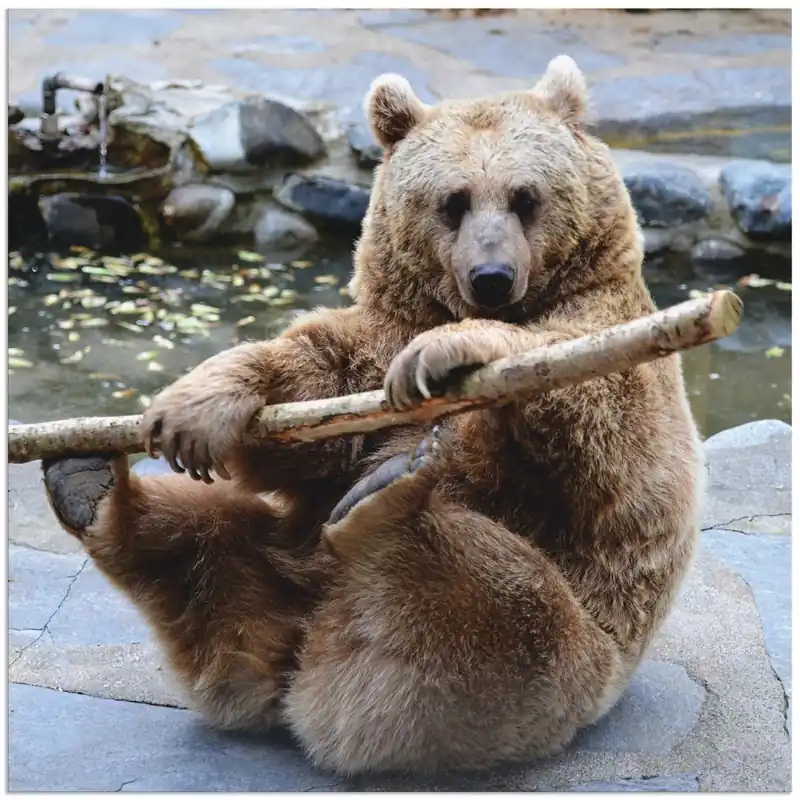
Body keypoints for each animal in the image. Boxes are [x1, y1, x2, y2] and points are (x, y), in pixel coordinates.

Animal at [41, 54, 704, 776]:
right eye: (453, 201)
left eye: (525, 197)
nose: (492, 276)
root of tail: (306, 665)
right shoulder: (385, 330)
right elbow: (314, 398)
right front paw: (200, 404)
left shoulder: (609, 330)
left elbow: (598, 426)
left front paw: (454, 352)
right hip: (267, 577)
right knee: (204, 544)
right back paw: (90, 489)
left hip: (557, 663)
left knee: (494, 603)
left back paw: (386, 505)